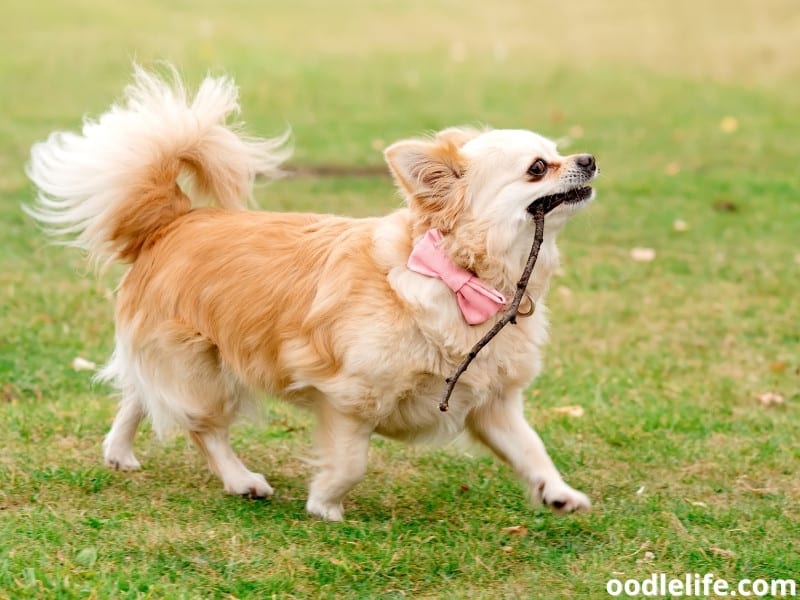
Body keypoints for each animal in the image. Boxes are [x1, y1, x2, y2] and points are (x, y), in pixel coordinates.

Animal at [28, 64, 596, 516]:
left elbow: (531, 449)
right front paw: (324, 504)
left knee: (138, 393)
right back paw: (242, 480)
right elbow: (350, 462)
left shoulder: (492, 403)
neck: (464, 279)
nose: (588, 158)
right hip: (205, 367)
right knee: (201, 427)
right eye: (538, 168)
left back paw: (119, 452)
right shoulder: (350, 398)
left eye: (558, 152)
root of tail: (174, 220)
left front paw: (557, 493)